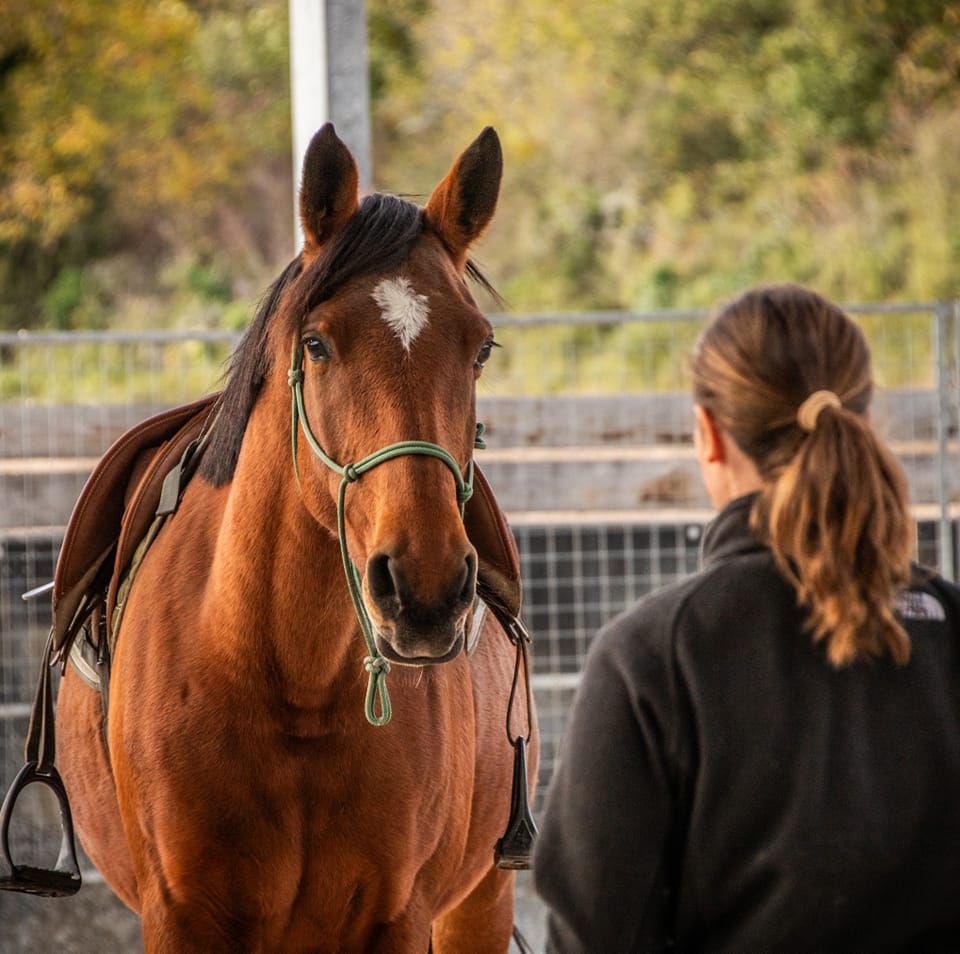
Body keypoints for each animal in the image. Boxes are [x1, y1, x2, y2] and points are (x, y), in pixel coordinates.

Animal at [56, 128, 540, 952]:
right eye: (316, 344)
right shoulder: (180, 916)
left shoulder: (397, 917)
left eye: (479, 349)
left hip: (478, 904)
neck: (287, 681)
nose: (425, 590)